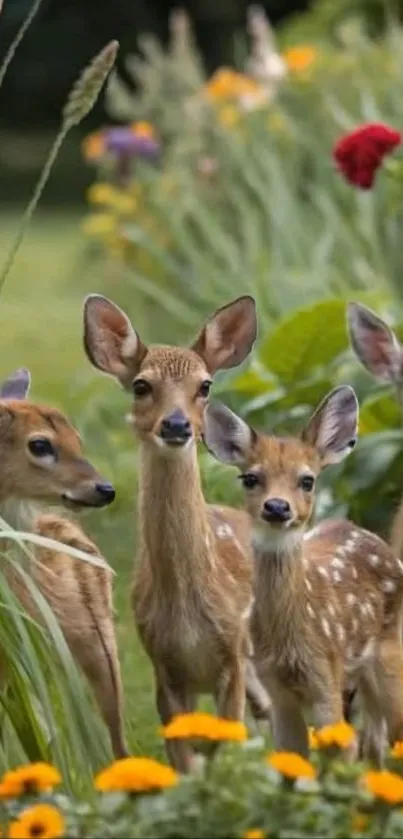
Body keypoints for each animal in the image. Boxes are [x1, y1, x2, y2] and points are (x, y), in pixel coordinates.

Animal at [82, 293, 272, 772]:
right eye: (141, 386)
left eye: (204, 386)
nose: (176, 424)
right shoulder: (163, 666)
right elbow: (186, 762)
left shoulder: (231, 657)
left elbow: (224, 747)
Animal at [203, 386, 403, 761]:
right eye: (250, 478)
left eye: (307, 480)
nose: (277, 506)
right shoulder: (275, 688)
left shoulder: (325, 679)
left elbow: (342, 755)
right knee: (374, 743)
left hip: (387, 657)